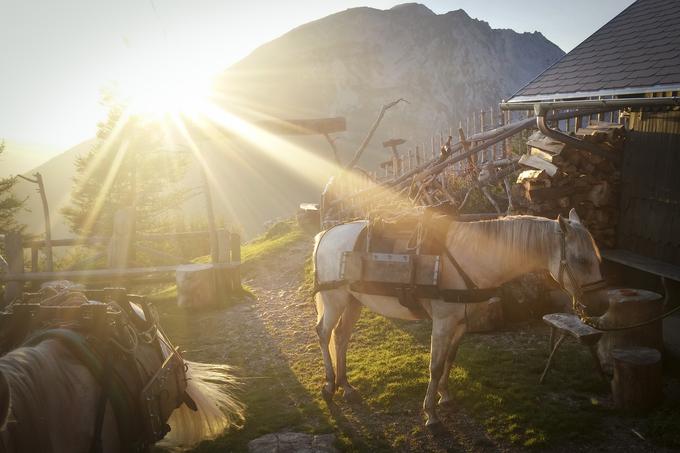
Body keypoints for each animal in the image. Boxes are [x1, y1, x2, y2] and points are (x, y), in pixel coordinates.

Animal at [314, 210, 604, 426]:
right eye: (581, 260)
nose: (597, 307)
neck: (472, 258)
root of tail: (325, 235)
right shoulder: (442, 322)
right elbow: (435, 365)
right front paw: (431, 413)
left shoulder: (463, 323)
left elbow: (450, 359)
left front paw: (445, 396)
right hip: (335, 300)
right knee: (324, 333)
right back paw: (329, 386)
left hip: (353, 301)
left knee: (341, 337)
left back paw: (346, 387)